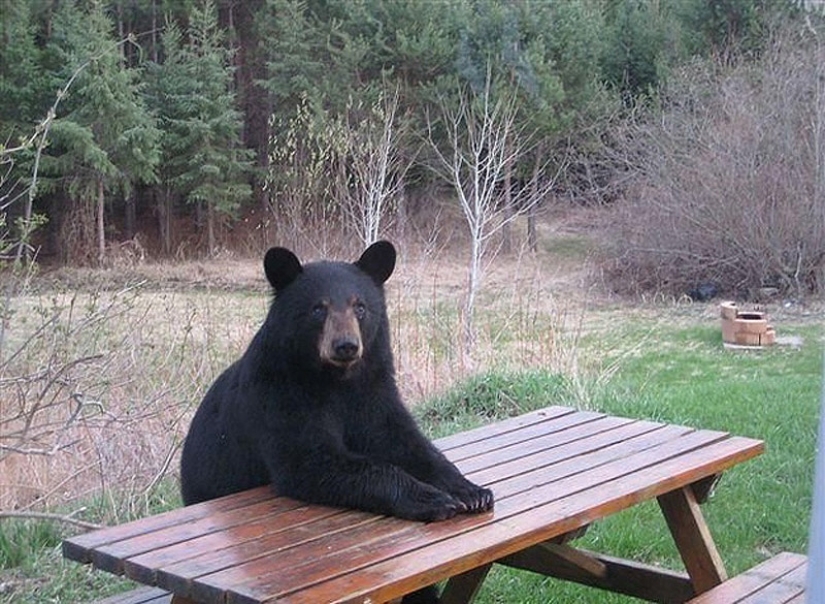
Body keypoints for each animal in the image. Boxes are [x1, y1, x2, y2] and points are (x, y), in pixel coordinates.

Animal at [180, 241, 493, 603]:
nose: (346, 345)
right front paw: (432, 498)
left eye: (360, 307)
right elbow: (311, 459)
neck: (335, 380)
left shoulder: (372, 392)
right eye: (319, 309)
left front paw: (470, 490)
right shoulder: (279, 396)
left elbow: (403, 441)